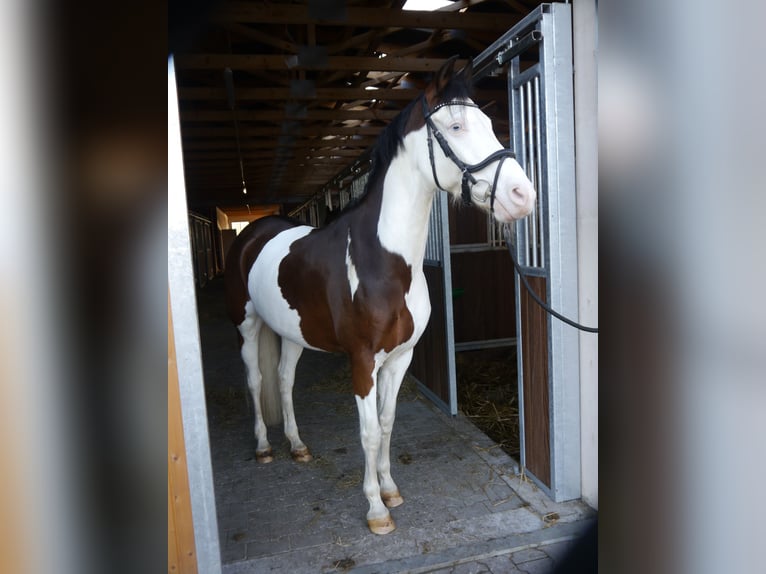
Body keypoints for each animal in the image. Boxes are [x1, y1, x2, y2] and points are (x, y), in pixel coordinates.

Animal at [225, 56, 536, 536]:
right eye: (457, 126)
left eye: (490, 123)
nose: (523, 196)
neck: (384, 260)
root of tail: (254, 232)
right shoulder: (363, 361)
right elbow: (369, 433)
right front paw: (375, 510)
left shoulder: (400, 358)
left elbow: (388, 423)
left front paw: (391, 490)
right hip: (247, 324)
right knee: (257, 379)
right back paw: (263, 448)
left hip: (294, 333)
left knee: (285, 379)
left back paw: (297, 446)